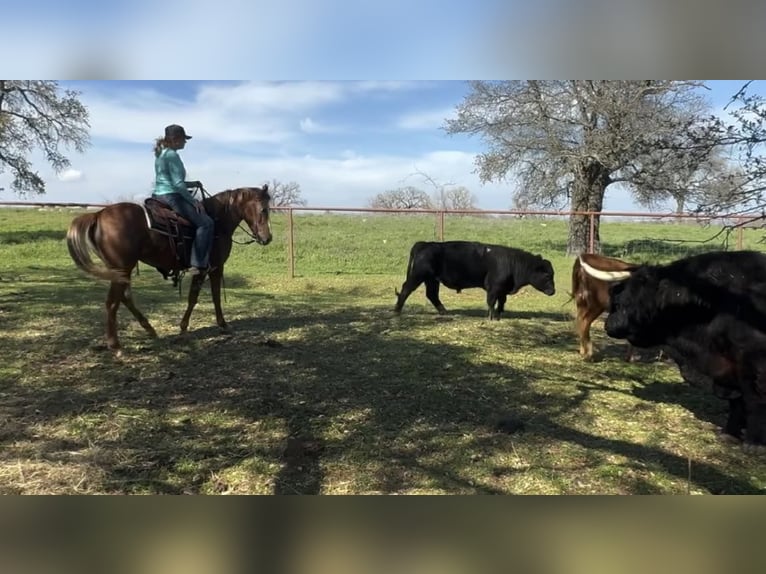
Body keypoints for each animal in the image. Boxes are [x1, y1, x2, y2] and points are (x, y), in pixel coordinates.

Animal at [67, 187, 272, 354]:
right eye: (264, 209)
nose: (267, 238)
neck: (217, 221)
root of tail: (99, 214)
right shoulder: (209, 268)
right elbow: (201, 297)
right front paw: (190, 327)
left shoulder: (212, 268)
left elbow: (208, 296)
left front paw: (213, 324)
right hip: (122, 268)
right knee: (112, 303)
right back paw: (116, 346)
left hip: (121, 271)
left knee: (124, 298)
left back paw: (149, 329)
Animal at [392, 238, 556, 320]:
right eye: (547, 275)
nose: (553, 291)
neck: (512, 263)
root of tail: (425, 244)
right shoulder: (494, 288)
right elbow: (491, 302)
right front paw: (491, 317)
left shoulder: (502, 289)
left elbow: (502, 302)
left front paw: (499, 315)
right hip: (418, 276)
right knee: (406, 290)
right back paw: (397, 311)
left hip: (432, 280)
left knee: (432, 295)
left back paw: (444, 311)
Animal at [584, 251, 766, 450]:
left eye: (628, 299)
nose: (609, 324)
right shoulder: (728, 369)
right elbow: (737, 403)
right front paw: (730, 434)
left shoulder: (752, 364)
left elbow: (754, 401)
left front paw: (754, 443)